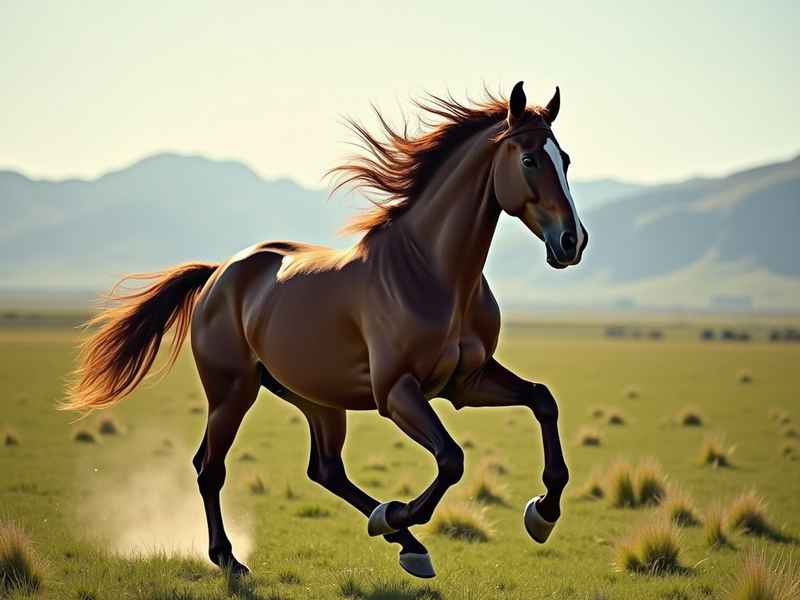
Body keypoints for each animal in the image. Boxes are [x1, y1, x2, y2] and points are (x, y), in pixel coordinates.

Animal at [64, 81, 588, 579]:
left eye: (564, 159)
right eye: (529, 158)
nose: (572, 241)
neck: (432, 273)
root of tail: (220, 273)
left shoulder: (466, 382)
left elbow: (542, 400)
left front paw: (542, 514)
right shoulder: (396, 391)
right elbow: (451, 459)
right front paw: (394, 513)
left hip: (315, 397)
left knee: (325, 470)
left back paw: (409, 547)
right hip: (232, 392)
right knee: (210, 469)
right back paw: (231, 559)